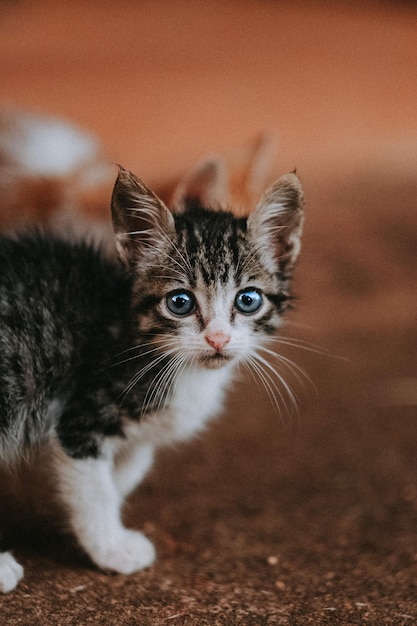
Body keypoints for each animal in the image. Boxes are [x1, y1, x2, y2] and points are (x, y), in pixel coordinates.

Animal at [0, 162, 300, 588]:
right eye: (180, 302)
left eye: (248, 300)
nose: (218, 339)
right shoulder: (83, 415)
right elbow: (93, 487)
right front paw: (111, 548)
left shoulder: (141, 432)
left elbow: (125, 472)